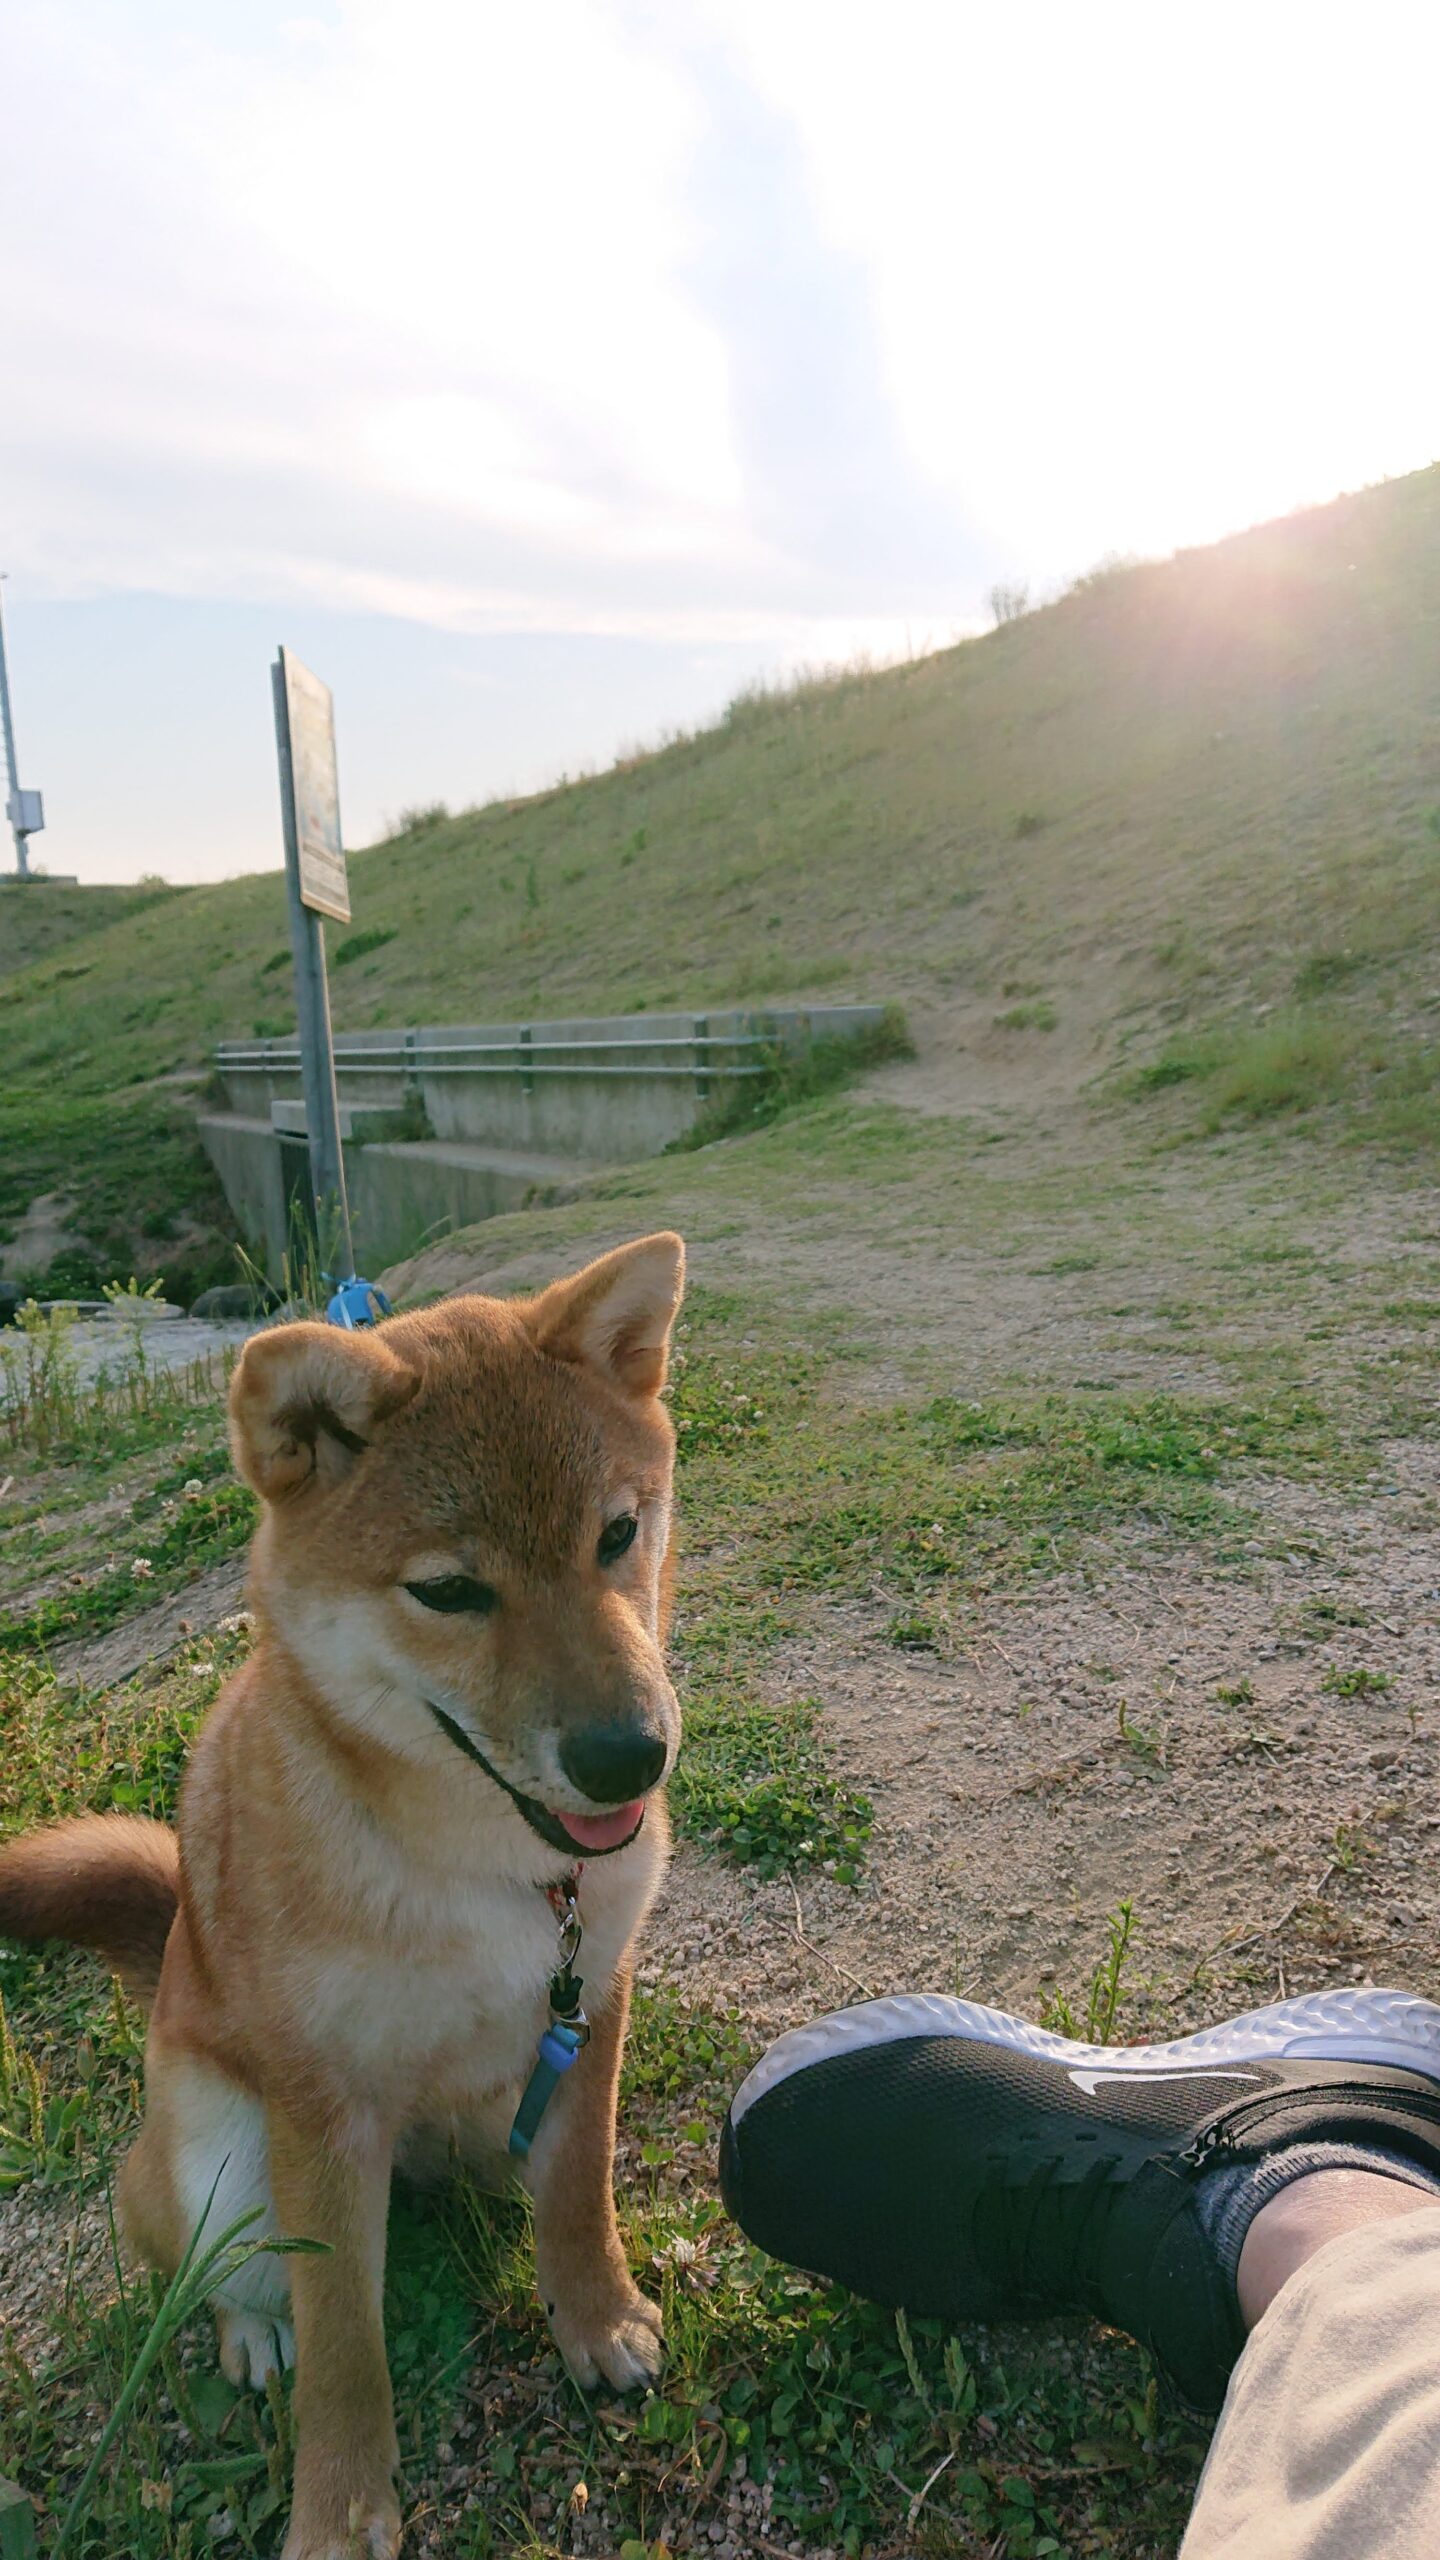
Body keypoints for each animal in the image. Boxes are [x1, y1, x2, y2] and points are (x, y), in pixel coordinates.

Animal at [0, 1228, 686, 2549]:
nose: (630, 1757)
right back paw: (251, 2334)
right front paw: (341, 2506)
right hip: (218, 2166)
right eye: (450, 1592)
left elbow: (579, 2197)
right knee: (222, 2279)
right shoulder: (323, 2109)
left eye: (616, 1534)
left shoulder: (589, 2006)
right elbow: (343, 2341)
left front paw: (596, 2319)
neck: (482, 1869)